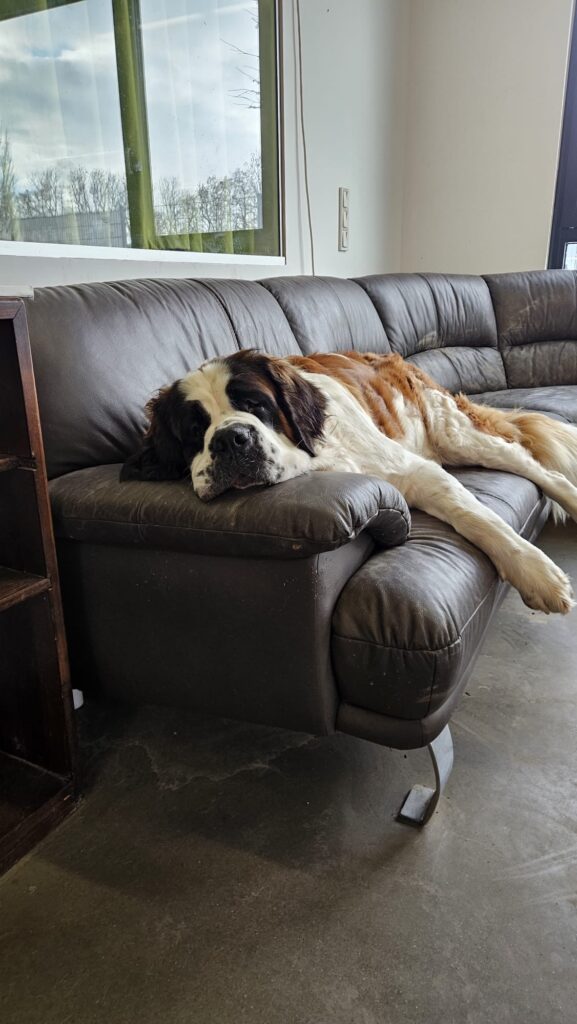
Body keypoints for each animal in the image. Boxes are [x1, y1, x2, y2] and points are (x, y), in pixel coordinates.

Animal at [121, 349, 577, 615]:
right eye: (194, 429)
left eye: (255, 405)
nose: (231, 439)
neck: (320, 458)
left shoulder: (416, 471)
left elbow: (479, 517)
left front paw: (535, 572)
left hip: (456, 433)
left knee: (540, 469)